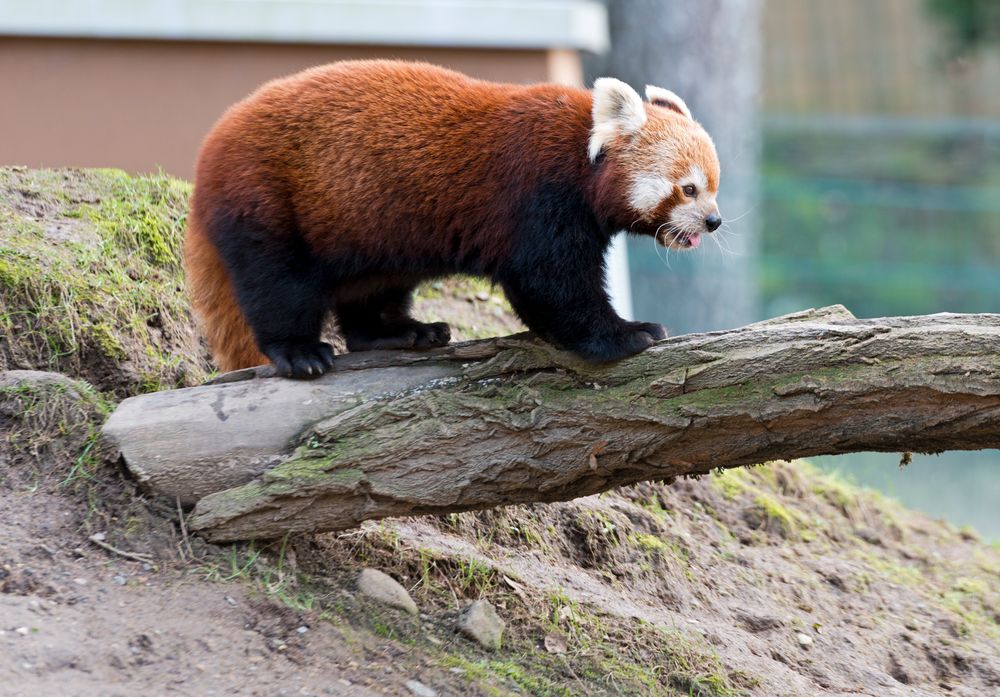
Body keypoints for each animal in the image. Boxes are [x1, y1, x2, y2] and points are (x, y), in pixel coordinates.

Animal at [186, 59, 720, 376]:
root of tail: (212, 147)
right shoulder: (537, 198)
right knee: (278, 285)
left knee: (370, 290)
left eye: (715, 187)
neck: (579, 153)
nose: (713, 222)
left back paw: (399, 332)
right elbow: (551, 285)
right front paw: (625, 334)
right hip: (266, 198)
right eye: (688, 188)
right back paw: (298, 351)